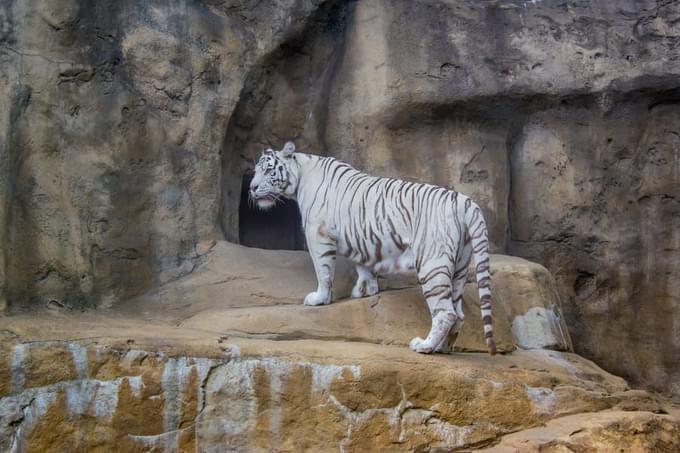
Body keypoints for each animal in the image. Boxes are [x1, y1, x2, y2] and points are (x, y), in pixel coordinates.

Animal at [248, 141, 494, 354]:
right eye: (256, 170)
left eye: (268, 170)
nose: (251, 188)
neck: (300, 173)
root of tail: (464, 201)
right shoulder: (359, 238)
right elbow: (363, 265)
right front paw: (366, 290)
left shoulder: (318, 234)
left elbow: (323, 270)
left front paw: (319, 298)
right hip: (460, 265)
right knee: (459, 313)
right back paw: (442, 347)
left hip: (432, 262)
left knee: (446, 312)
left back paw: (424, 346)